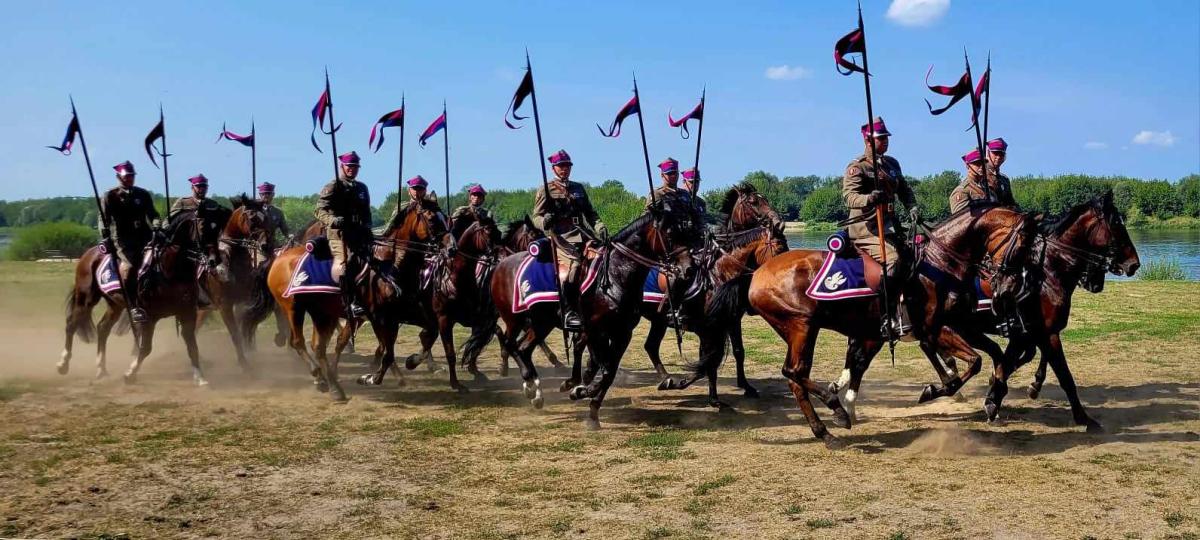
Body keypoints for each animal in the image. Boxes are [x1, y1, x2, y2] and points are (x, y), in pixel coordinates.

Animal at [696, 206, 1041, 446]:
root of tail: (756, 274)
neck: (937, 266)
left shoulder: (927, 330)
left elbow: (983, 359)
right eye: (1023, 242)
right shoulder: (934, 329)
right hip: (802, 326)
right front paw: (936, 391)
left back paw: (828, 424)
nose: (1011, 285)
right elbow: (972, 363)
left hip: (799, 330)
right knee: (794, 372)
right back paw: (832, 412)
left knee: (796, 376)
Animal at [936, 192, 1142, 432]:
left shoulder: (1031, 333)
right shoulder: (1044, 333)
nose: (1134, 264)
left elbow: (1014, 361)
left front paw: (998, 394)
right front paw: (1083, 418)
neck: (1049, 272)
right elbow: (1064, 376)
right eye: (1117, 223)